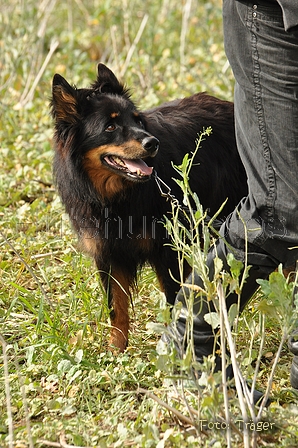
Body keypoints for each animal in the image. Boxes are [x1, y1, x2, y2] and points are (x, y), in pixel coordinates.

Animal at [51, 63, 247, 352]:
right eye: (110, 126)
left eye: (137, 121)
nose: (152, 143)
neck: (117, 197)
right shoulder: (108, 255)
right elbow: (117, 309)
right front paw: (116, 351)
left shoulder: (167, 252)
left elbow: (174, 300)